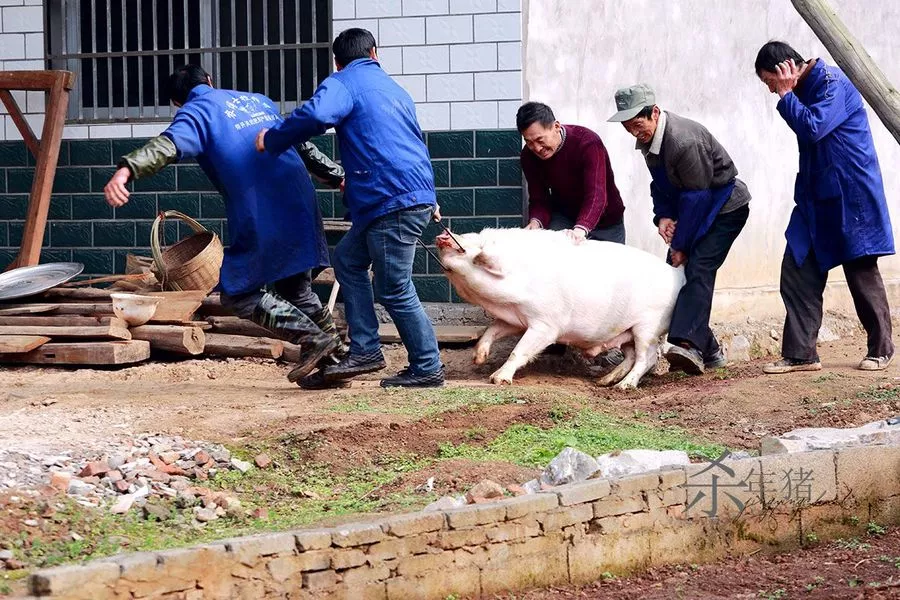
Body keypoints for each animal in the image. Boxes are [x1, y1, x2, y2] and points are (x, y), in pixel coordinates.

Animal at [436, 229, 684, 390]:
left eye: (471, 244)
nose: (442, 235)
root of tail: (677, 276)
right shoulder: (515, 319)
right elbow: (491, 331)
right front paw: (478, 359)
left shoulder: (546, 325)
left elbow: (519, 350)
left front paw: (498, 380)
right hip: (627, 331)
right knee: (631, 356)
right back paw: (604, 382)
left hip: (648, 326)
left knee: (647, 358)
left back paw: (623, 387)